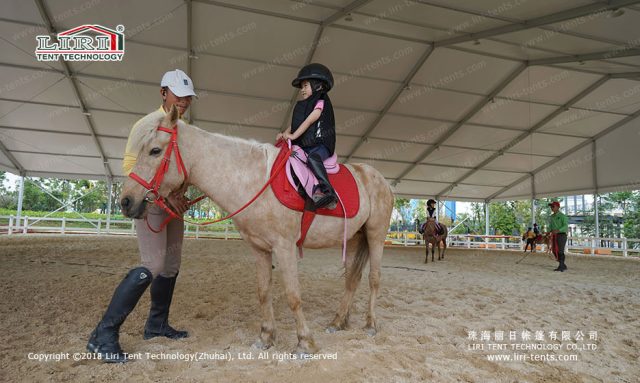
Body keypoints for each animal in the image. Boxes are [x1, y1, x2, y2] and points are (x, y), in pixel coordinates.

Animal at [117, 106, 392, 356]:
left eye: (155, 150)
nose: (126, 201)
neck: (256, 179)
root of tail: (379, 178)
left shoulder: (285, 247)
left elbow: (293, 295)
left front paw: (305, 343)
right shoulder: (260, 249)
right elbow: (263, 292)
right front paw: (266, 337)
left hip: (375, 236)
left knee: (374, 278)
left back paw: (370, 325)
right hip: (355, 238)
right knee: (351, 280)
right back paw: (337, 322)